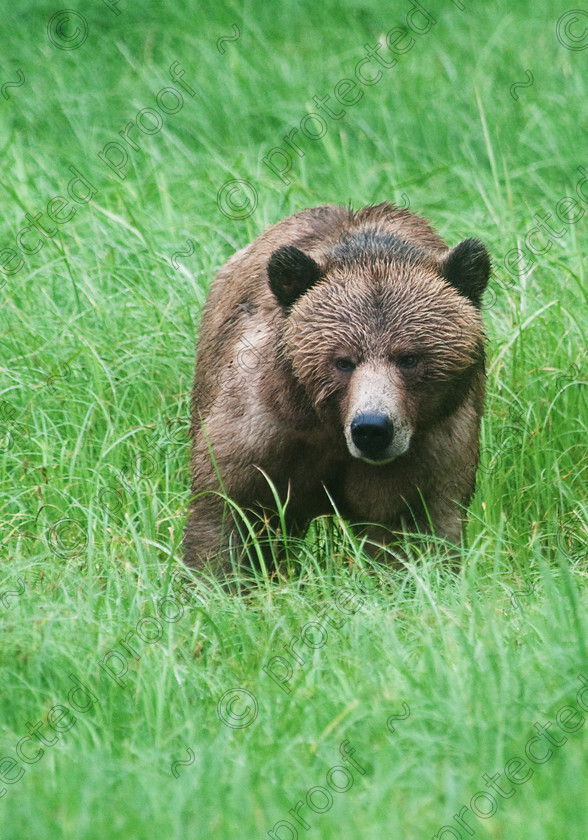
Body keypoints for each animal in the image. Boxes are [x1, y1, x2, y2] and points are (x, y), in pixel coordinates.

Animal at [183, 200, 486, 576]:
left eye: (409, 358)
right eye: (343, 361)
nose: (372, 428)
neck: (328, 428)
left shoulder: (430, 450)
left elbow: (411, 533)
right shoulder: (261, 428)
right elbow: (228, 513)